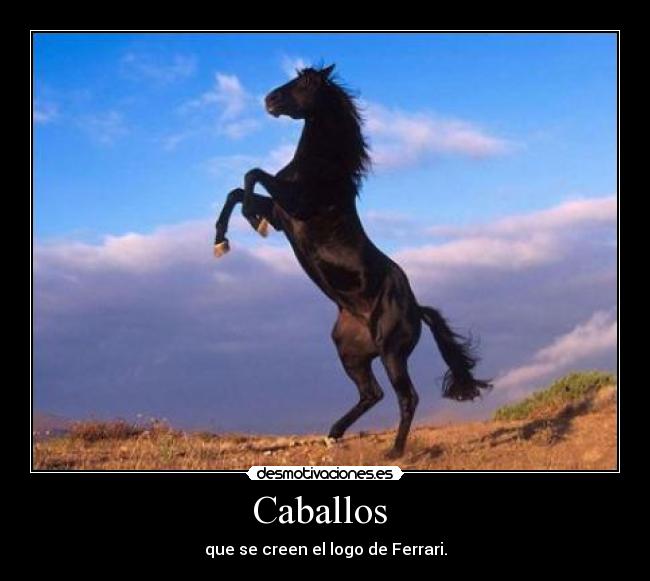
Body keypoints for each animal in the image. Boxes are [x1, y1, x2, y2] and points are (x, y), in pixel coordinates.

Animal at [213, 64, 491, 458]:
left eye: (306, 83)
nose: (269, 100)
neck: (322, 168)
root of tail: (417, 308)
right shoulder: (284, 215)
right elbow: (236, 191)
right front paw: (222, 241)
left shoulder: (295, 205)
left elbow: (252, 175)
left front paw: (251, 220)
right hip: (350, 352)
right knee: (372, 394)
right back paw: (334, 434)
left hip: (392, 353)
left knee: (407, 397)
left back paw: (394, 451)